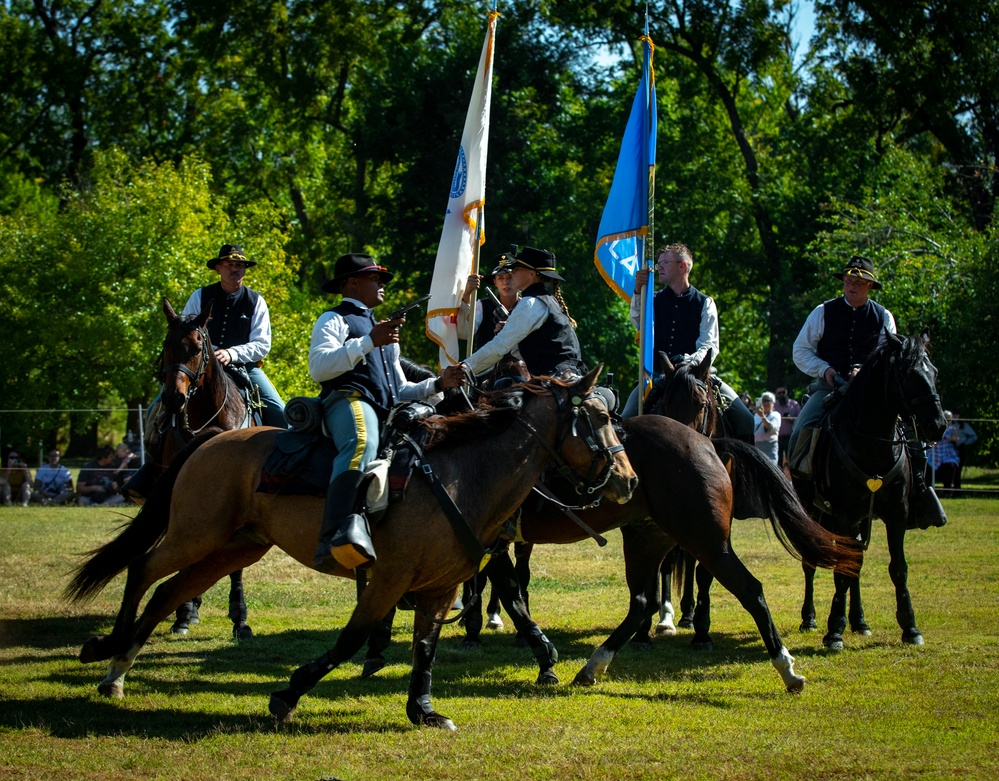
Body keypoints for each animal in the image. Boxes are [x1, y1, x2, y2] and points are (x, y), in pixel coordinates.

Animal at [66, 368, 636, 728]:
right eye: (599, 420)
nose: (628, 481)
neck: (458, 478)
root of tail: (209, 441)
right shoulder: (387, 580)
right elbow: (351, 640)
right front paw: (287, 694)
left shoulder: (439, 587)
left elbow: (425, 648)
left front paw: (424, 710)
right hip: (194, 534)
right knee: (143, 569)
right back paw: (110, 649)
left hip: (232, 549)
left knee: (169, 593)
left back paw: (118, 672)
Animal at [155, 298, 258, 640]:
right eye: (167, 345)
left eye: (198, 347)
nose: (174, 398)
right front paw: (183, 613)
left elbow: (235, 566)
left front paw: (240, 619)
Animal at [792, 332, 948, 648]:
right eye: (909, 374)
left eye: (934, 372)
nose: (938, 425)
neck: (871, 444)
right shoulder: (843, 516)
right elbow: (840, 572)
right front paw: (834, 631)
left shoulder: (896, 516)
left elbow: (897, 568)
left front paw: (910, 627)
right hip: (815, 514)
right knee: (811, 562)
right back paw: (809, 619)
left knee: (856, 563)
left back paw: (859, 621)